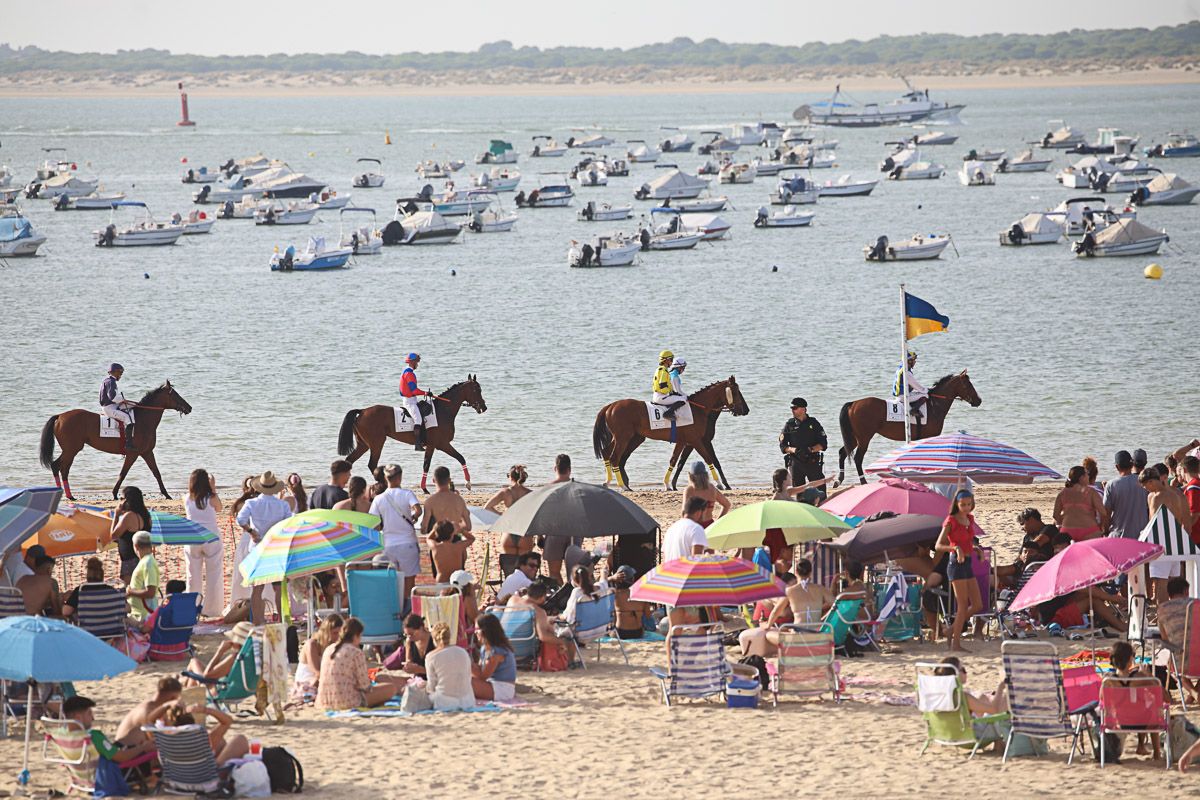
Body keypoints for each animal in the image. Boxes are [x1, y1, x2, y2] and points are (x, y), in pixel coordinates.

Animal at [39, 382, 193, 500]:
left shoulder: (147, 452)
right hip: (71, 449)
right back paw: (68, 495)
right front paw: (114, 493)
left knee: (60, 467)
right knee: (60, 467)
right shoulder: (133, 454)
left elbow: (156, 472)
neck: (143, 420)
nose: (189, 407)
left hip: (70, 450)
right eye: (175, 394)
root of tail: (60, 416)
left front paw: (166, 494)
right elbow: (123, 473)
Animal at [336, 375, 487, 493]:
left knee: (350, 460)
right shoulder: (439, 444)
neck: (442, 411)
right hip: (377, 443)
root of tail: (362, 411)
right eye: (476, 390)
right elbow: (435, 463)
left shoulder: (438, 445)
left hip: (363, 445)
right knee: (372, 464)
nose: (484, 407)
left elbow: (457, 459)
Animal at [592, 376, 749, 490]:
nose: (746, 410)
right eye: (736, 392)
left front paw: (668, 484)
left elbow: (675, 461)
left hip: (629, 438)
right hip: (623, 437)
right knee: (614, 458)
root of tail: (611, 406)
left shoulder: (683, 441)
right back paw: (622, 486)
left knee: (608, 453)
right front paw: (720, 483)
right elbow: (709, 459)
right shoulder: (696, 440)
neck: (698, 409)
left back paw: (610, 482)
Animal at [835, 370, 981, 487]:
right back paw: (863, 481)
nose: (979, 401)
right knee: (858, 458)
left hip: (854, 437)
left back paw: (838, 480)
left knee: (842, 452)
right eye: (968, 385)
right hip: (864, 438)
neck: (934, 405)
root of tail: (853, 403)